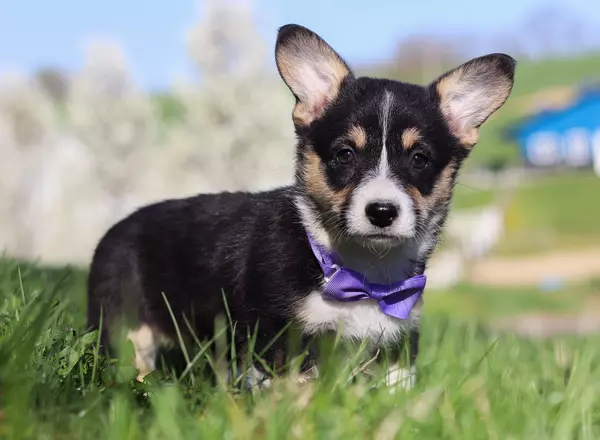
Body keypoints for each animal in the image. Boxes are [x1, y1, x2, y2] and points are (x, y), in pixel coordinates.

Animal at [85, 23, 516, 388]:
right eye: (344, 154)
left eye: (420, 159)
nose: (382, 212)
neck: (359, 271)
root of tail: (115, 229)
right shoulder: (277, 337)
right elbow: (295, 391)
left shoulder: (397, 340)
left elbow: (397, 388)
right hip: (122, 328)